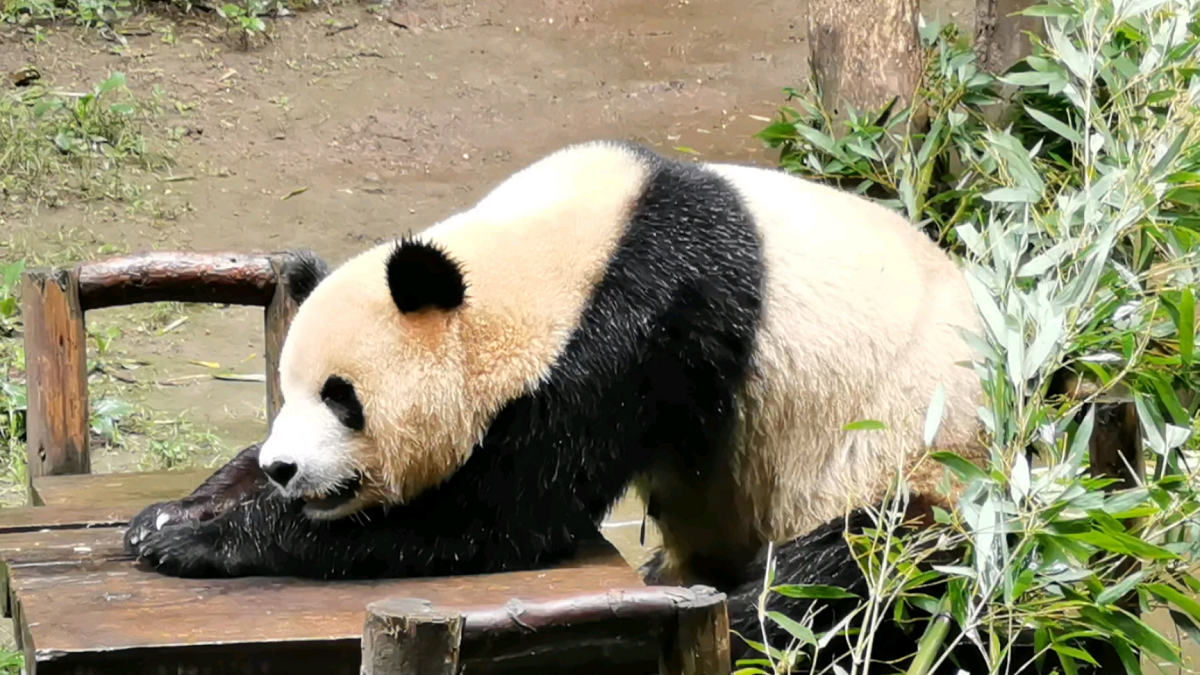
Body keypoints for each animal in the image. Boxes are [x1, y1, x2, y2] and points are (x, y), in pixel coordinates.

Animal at [125, 140, 1002, 671]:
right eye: (291, 390)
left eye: (344, 399)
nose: (285, 467)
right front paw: (173, 511)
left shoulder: (642, 330)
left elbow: (500, 514)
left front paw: (203, 542)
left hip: (918, 464)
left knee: (840, 574)